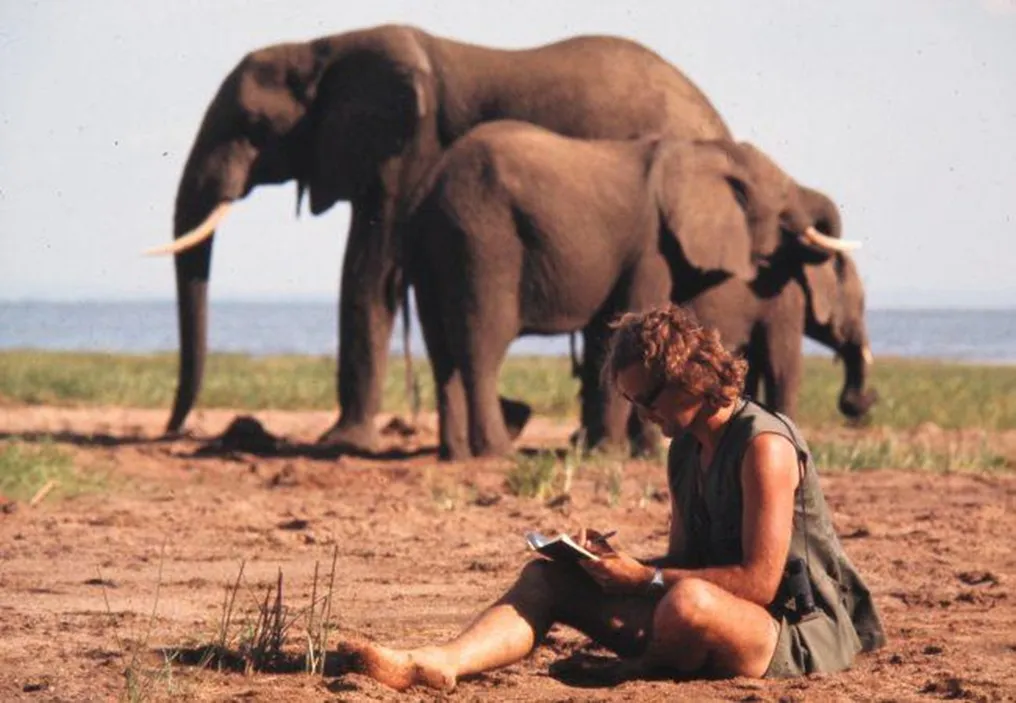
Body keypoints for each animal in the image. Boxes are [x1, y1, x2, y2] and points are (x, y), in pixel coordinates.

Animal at [150, 24, 735, 453]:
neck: (324, 48)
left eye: (252, 126)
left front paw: (341, 443)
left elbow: (368, 273)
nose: (177, 430)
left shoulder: (406, 147)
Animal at [400, 120, 856, 459]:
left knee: (441, 353)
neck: (704, 151)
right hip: (482, 239)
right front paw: (613, 453)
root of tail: (429, 184)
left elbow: (612, 335)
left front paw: (621, 450)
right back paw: (496, 452)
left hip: (434, 246)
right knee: (482, 345)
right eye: (783, 206)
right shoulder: (650, 248)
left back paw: (456, 454)